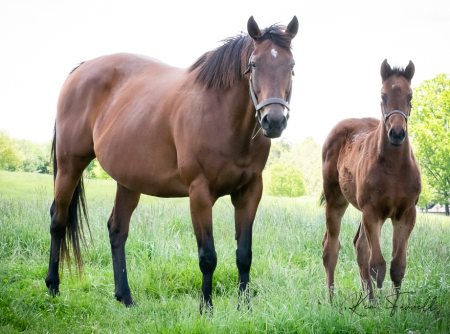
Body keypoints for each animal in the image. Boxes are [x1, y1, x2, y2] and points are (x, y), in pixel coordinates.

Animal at [45, 16, 298, 314]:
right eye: (254, 64)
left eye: (291, 66)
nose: (274, 120)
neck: (222, 115)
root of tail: (81, 69)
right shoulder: (200, 194)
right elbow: (208, 256)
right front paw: (206, 309)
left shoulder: (249, 192)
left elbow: (244, 254)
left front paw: (244, 309)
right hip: (69, 165)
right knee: (58, 220)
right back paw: (52, 286)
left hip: (128, 181)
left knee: (117, 230)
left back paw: (125, 297)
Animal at [320, 59, 422, 300]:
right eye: (383, 96)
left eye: (410, 96)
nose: (397, 133)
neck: (395, 168)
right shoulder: (372, 212)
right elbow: (378, 266)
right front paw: (382, 307)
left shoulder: (406, 214)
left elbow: (397, 267)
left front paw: (394, 307)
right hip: (336, 200)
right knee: (331, 247)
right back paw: (331, 299)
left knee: (359, 247)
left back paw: (370, 301)